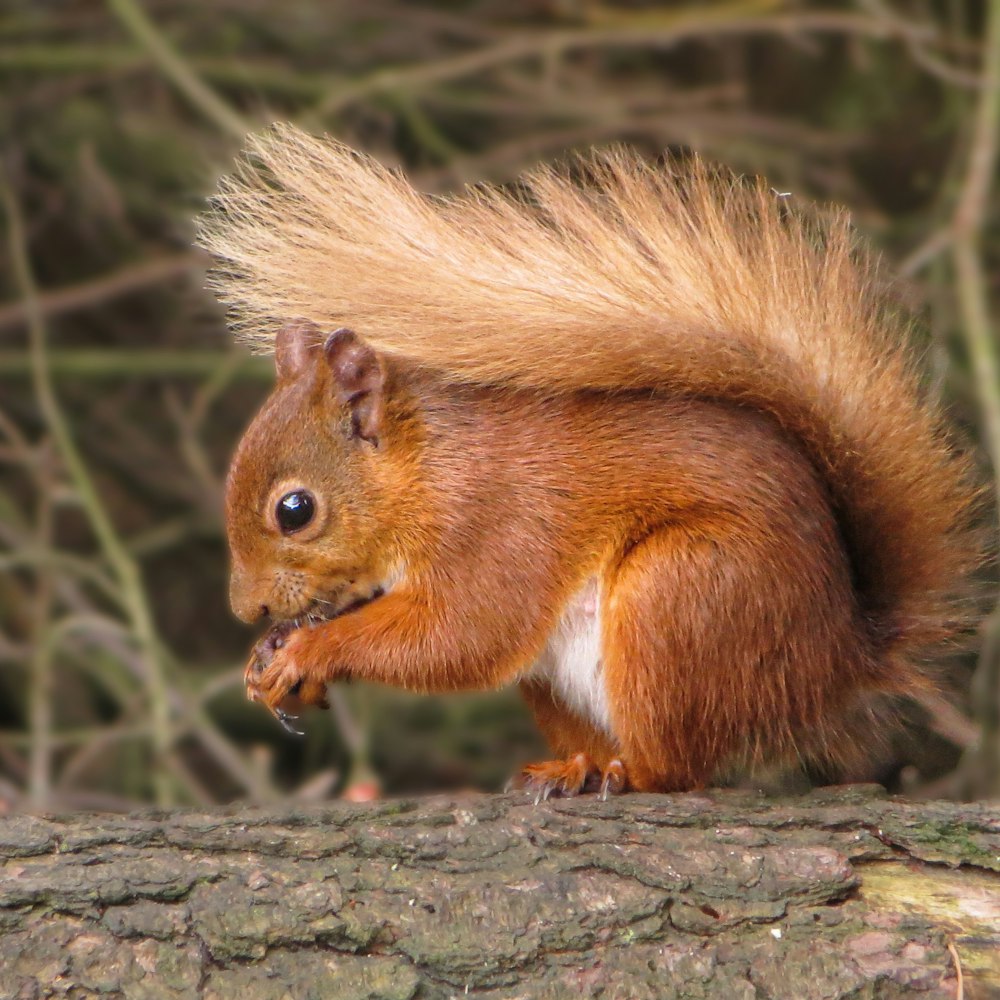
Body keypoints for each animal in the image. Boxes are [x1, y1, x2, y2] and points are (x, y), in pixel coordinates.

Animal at [199, 127, 980, 796]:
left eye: (295, 510)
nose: (246, 608)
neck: (428, 470)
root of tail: (840, 659)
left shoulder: (497, 528)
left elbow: (460, 636)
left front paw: (308, 651)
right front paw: (268, 661)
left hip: (682, 597)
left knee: (679, 771)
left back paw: (622, 774)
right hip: (568, 675)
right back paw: (573, 767)